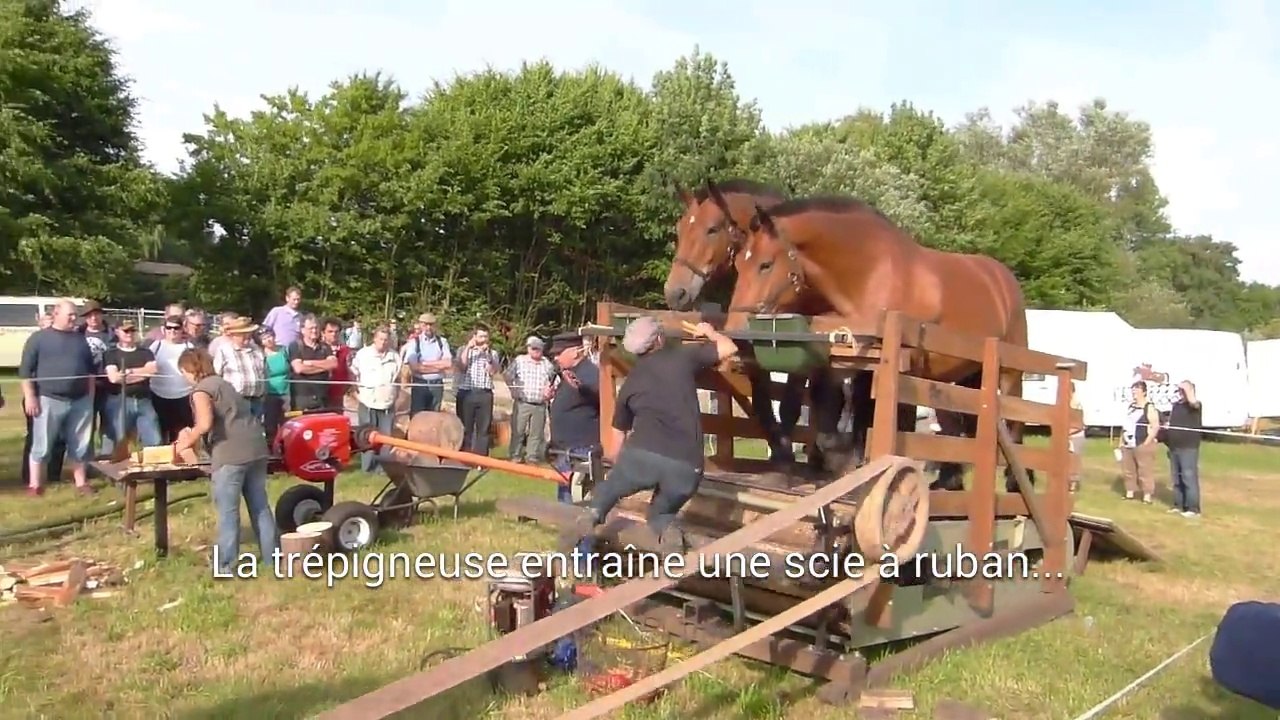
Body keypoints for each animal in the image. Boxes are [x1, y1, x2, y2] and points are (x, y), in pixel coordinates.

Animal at [665, 179, 847, 472]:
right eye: (680, 230)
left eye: (712, 229)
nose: (675, 293)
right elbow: (763, 402)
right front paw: (779, 450)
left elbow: (789, 404)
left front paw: (786, 455)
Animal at [726, 195, 1033, 493]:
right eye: (738, 265)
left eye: (765, 264)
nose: (734, 331)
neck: (874, 276)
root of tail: (1002, 278)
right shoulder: (847, 360)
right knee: (953, 425)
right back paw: (949, 479)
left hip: (1009, 374)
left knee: (1015, 420)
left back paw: (1017, 481)